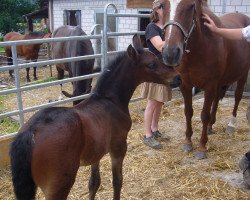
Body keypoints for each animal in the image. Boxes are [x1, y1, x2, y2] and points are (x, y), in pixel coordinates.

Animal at [9, 34, 177, 200]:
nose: (177, 78)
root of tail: (31, 131)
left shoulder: (97, 153)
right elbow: (117, 181)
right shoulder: (118, 147)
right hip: (59, 186)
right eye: (151, 64)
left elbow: (94, 183)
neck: (110, 100)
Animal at [160, 0, 250, 159]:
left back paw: (231, 125)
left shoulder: (209, 86)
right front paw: (188, 142)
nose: (170, 54)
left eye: (191, 6)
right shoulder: (186, 85)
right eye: (163, 5)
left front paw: (202, 147)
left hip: (243, 74)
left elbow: (204, 115)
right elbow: (188, 112)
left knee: (237, 97)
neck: (201, 46)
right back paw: (210, 126)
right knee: (217, 100)